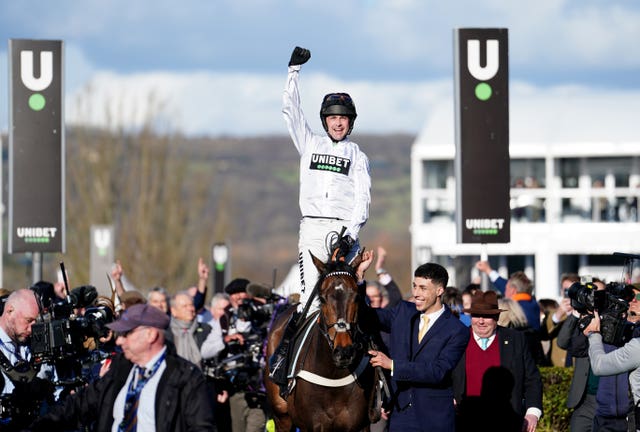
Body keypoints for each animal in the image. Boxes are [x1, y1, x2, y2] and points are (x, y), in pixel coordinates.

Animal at [264, 251, 380, 430]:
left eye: (357, 297)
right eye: (323, 299)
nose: (343, 352)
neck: (334, 376)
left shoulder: (360, 426)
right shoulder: (312, 425)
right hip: (282, 417)